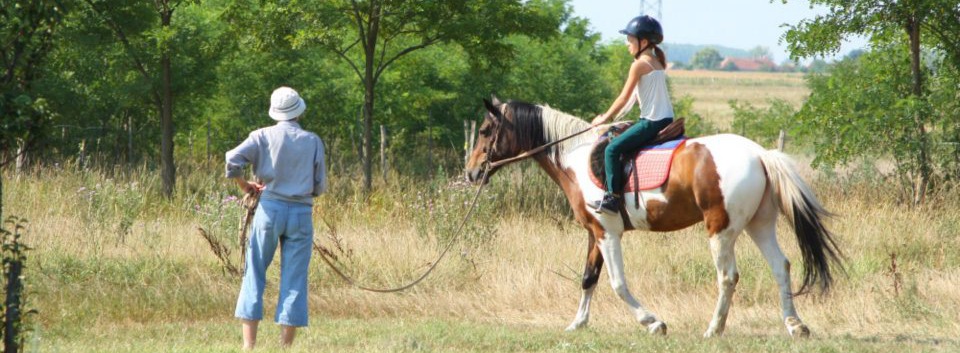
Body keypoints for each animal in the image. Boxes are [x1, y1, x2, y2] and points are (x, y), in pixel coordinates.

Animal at [464, 95, 840, 336]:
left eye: (484, 132)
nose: (471, 173)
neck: (575, 158)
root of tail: (761, 154)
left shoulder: (608, 233)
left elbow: (617, 283)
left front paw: (653, 322)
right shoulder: (594, 232)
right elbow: (588, 278)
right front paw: (577, 324)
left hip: (721, 229)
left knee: (728, 276)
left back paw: (713, 329)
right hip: (758, 225)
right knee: (781, 266)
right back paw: (795, 325)